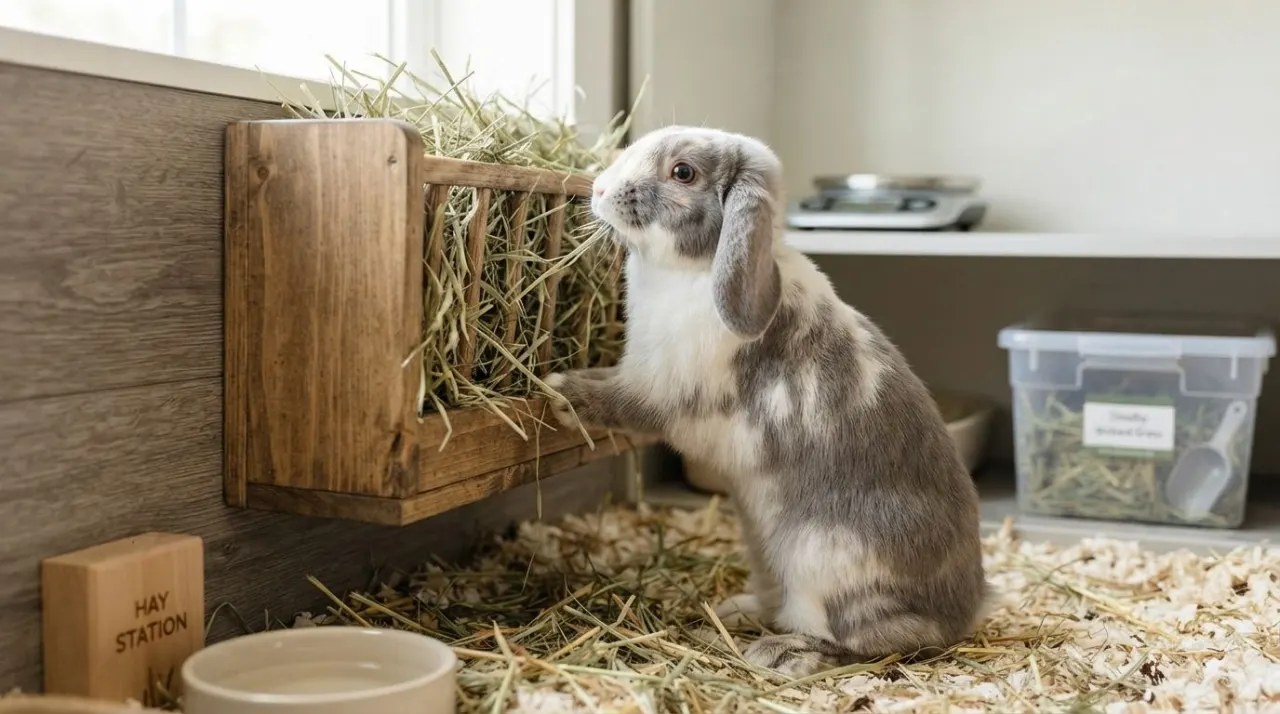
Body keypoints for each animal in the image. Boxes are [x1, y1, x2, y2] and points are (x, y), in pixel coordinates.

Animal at [544, 125, 990, 676]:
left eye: (683, 172)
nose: (600, 190)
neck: (695, 270)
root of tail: (964, 612)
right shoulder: (637, 370)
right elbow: (606, 379)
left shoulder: (658, 392)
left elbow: (616, 404)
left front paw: (557, 390)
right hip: (765, 548)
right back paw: (736, 610)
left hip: (825, 564)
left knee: (885, 638)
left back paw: (784, 653)